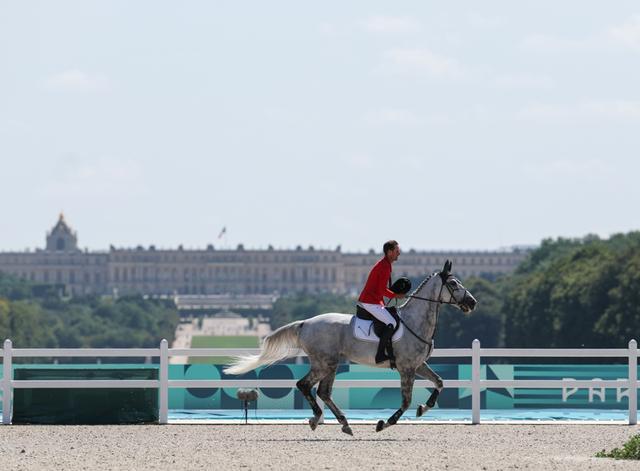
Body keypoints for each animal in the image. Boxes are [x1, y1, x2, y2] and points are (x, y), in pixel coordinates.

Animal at [225, 262, 476, 436]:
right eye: (453, 284)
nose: (472, 302)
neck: (414, 322)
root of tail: (306, 323)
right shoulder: (406, 368)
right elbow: (406, 401)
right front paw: (384, 424)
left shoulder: (418, 365)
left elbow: (440, 383)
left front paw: (424, 408)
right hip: (324, 363)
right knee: (305, 385)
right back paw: (320, 418)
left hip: (331, 364)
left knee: (323, 392)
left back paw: (342, 423)